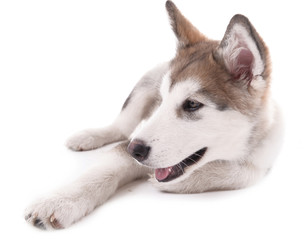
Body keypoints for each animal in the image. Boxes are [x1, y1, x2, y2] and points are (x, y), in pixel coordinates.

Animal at [25, 1, 282, 231]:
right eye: (162, 100)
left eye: (192, 104)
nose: (135, 150)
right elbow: (103, 168)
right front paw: (60, 200)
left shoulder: (264, 155)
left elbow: (243, 172)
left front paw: (183, 182)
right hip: (147, 81)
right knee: (121, 127)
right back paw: (89, 136)